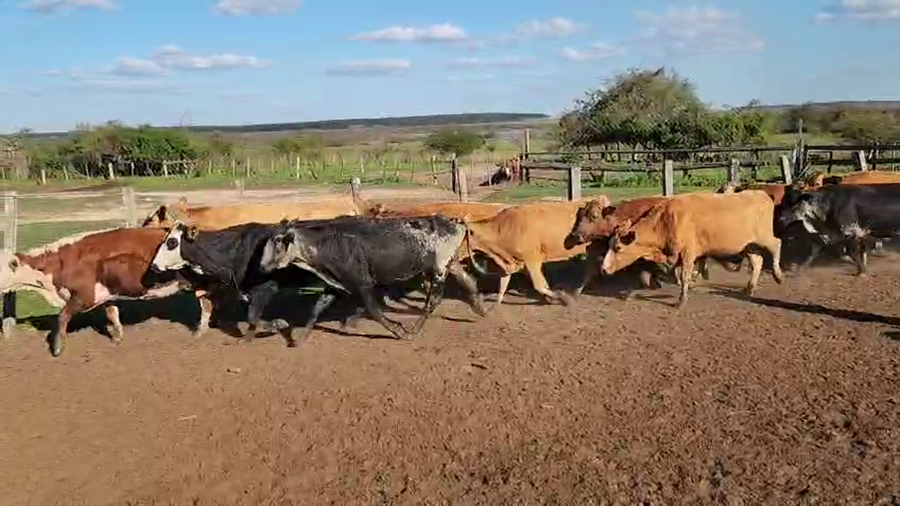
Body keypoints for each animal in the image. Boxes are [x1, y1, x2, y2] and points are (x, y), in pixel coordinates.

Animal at [0, 228, 204, 357]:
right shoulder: (105, 296)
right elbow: (112, 313)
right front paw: (117, 337)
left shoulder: (84, 297)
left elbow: (62, 317)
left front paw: (58, 348)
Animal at [257, 215, 486, 345]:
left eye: (278, 240)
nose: (262, 266)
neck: (330, 245)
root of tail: (455, 220)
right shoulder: (335, 284)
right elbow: (317, 308)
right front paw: (300, 337)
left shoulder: (364, 284)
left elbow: (375, 311)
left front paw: (399, 331)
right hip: (451, 264)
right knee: (469, 281)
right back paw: (480, 309)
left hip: (439, 268)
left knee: (433, 301)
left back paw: (413, 331)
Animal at [600, 190, 784, 308]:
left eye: (617, 247)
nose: (603, 269)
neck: (666, 221)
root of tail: (762, 194)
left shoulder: (688, 253)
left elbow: (684, 275)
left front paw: (682, 299)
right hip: (748, 245)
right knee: (757, 261)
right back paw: (749, 288)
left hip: (764, 237)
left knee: (777, 244)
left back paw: (778, 275)